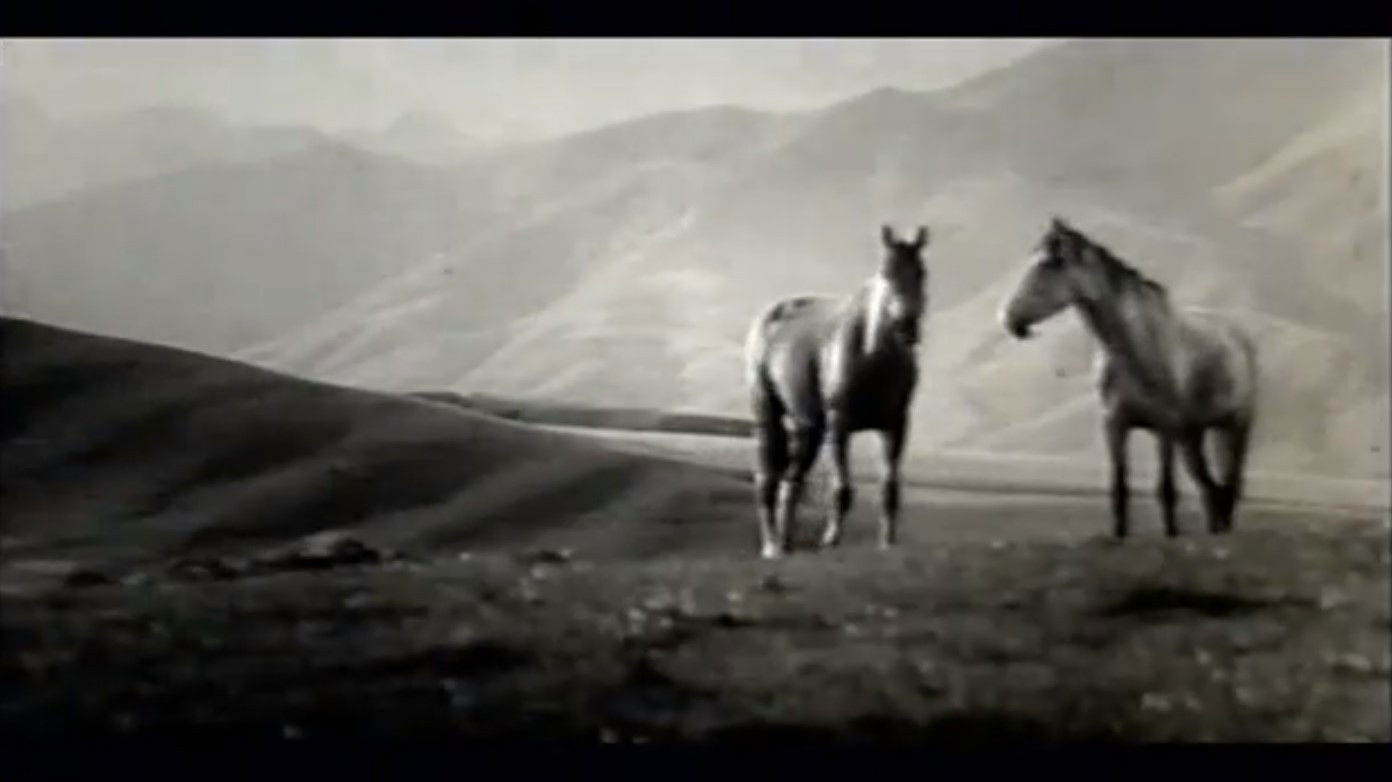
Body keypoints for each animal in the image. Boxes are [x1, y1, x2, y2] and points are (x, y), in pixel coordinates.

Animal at [744, 224, 930, 559]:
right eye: (886, 271)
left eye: (922, 272)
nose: (906, 326)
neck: (872, 357)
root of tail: (769, 317)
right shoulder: (839, 425)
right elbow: (842, 489)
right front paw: (830, 540)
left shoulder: (895, 426)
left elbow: (889, 489)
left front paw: (888, 543)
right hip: (768, 415)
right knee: (767, 478)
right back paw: (772, 546)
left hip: (809, 428)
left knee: (791, 481)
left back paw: (786, 544)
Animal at [999, 217, 1259, 537]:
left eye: (1052, 263)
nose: (1009, 318)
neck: (1134, 348)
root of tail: (1238, 335)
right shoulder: (1115, 426)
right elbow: (1120, 489)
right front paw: (1120, 533)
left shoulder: (1165, 428)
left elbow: (1166, 491)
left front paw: (1171, 535)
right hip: (1192, 436)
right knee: (1209, 488)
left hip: (1234, 427)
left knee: (1229, 484)